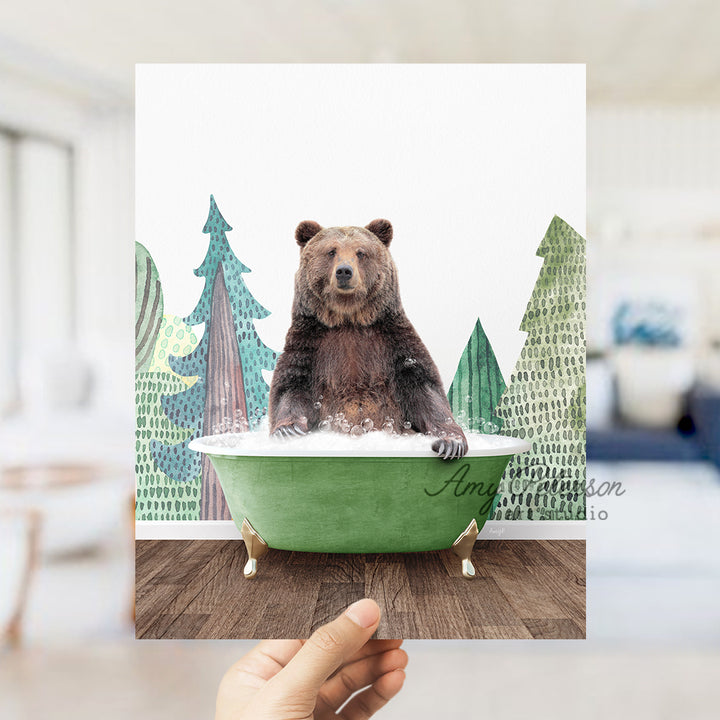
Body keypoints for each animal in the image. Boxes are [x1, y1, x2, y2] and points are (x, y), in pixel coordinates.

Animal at [268, 217, 470, 458]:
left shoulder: (392, 341)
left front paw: (450, 442)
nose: (344, 271)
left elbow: (424, 388)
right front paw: (287, 430)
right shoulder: (310, 343)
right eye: (331, 251)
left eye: (361, 252)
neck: (349, 319)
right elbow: (291, 386)